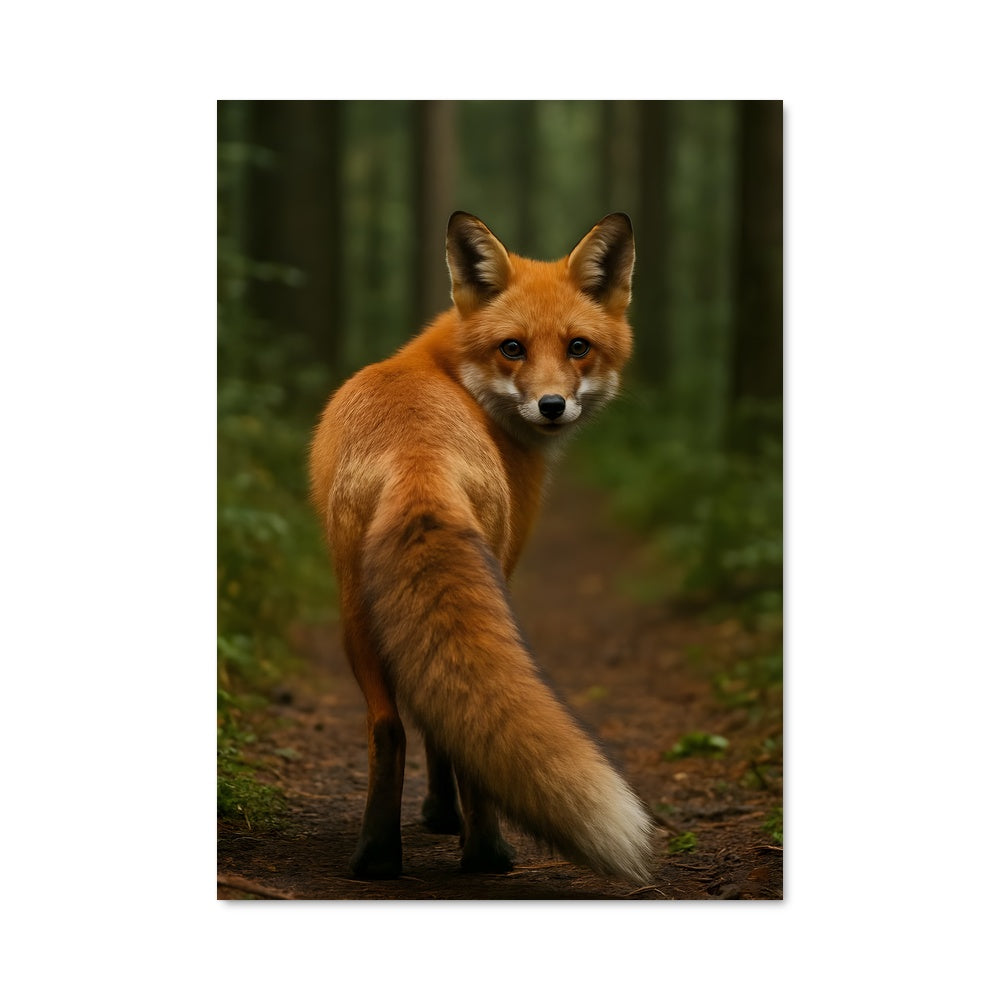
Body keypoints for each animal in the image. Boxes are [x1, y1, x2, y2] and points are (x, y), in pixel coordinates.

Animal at [308, 211, 653, 884]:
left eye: (578, 347)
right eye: (512, 348)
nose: (552, 405)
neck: (449, 375)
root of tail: (417, 459)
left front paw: (435, 815)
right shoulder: (509, 564)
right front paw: (445, 815)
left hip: (356, 613)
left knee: (388, 728)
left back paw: (377, 857)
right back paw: (486, 853)